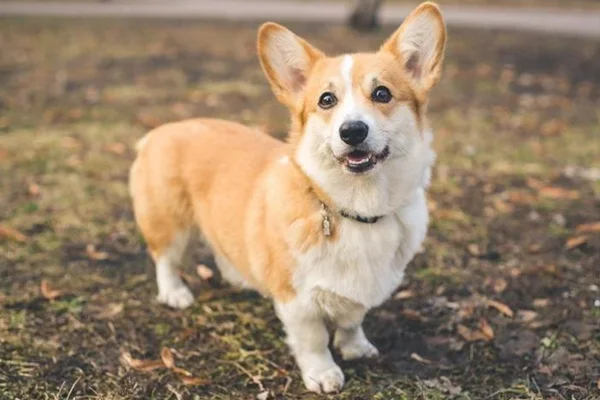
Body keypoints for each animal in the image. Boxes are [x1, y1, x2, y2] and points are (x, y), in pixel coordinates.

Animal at [129, 1, 446, 392]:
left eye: (382, 94)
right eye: (327, 100)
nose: (352, 131)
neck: (356, 207)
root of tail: (159, 131)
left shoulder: (360, 291)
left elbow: (352, 320)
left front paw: (356, 347)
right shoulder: (299, 302)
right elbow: (313, 340)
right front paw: (323, 374)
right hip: (170, 224)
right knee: (166, 259)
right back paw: (175, 293)